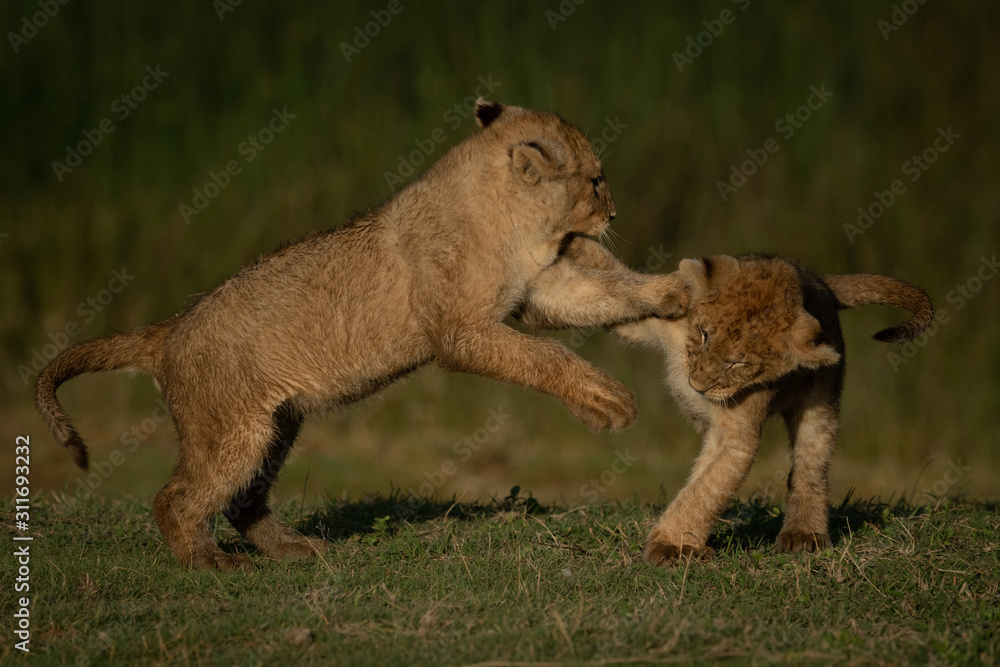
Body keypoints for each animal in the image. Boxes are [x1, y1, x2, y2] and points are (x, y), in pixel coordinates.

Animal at [35, 99, 683, 570]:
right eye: (596, 181)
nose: (615, 215)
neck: (515, 219)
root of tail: (168, 330)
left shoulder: (537, 291)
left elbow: (598, 297)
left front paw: (670, 293)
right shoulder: (461, 332)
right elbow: (543, 357)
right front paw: (607, 401)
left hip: (274, 425)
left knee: (243, 499)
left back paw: (293, 549)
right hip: (231, 431)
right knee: (176, 498)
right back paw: (211, 562)